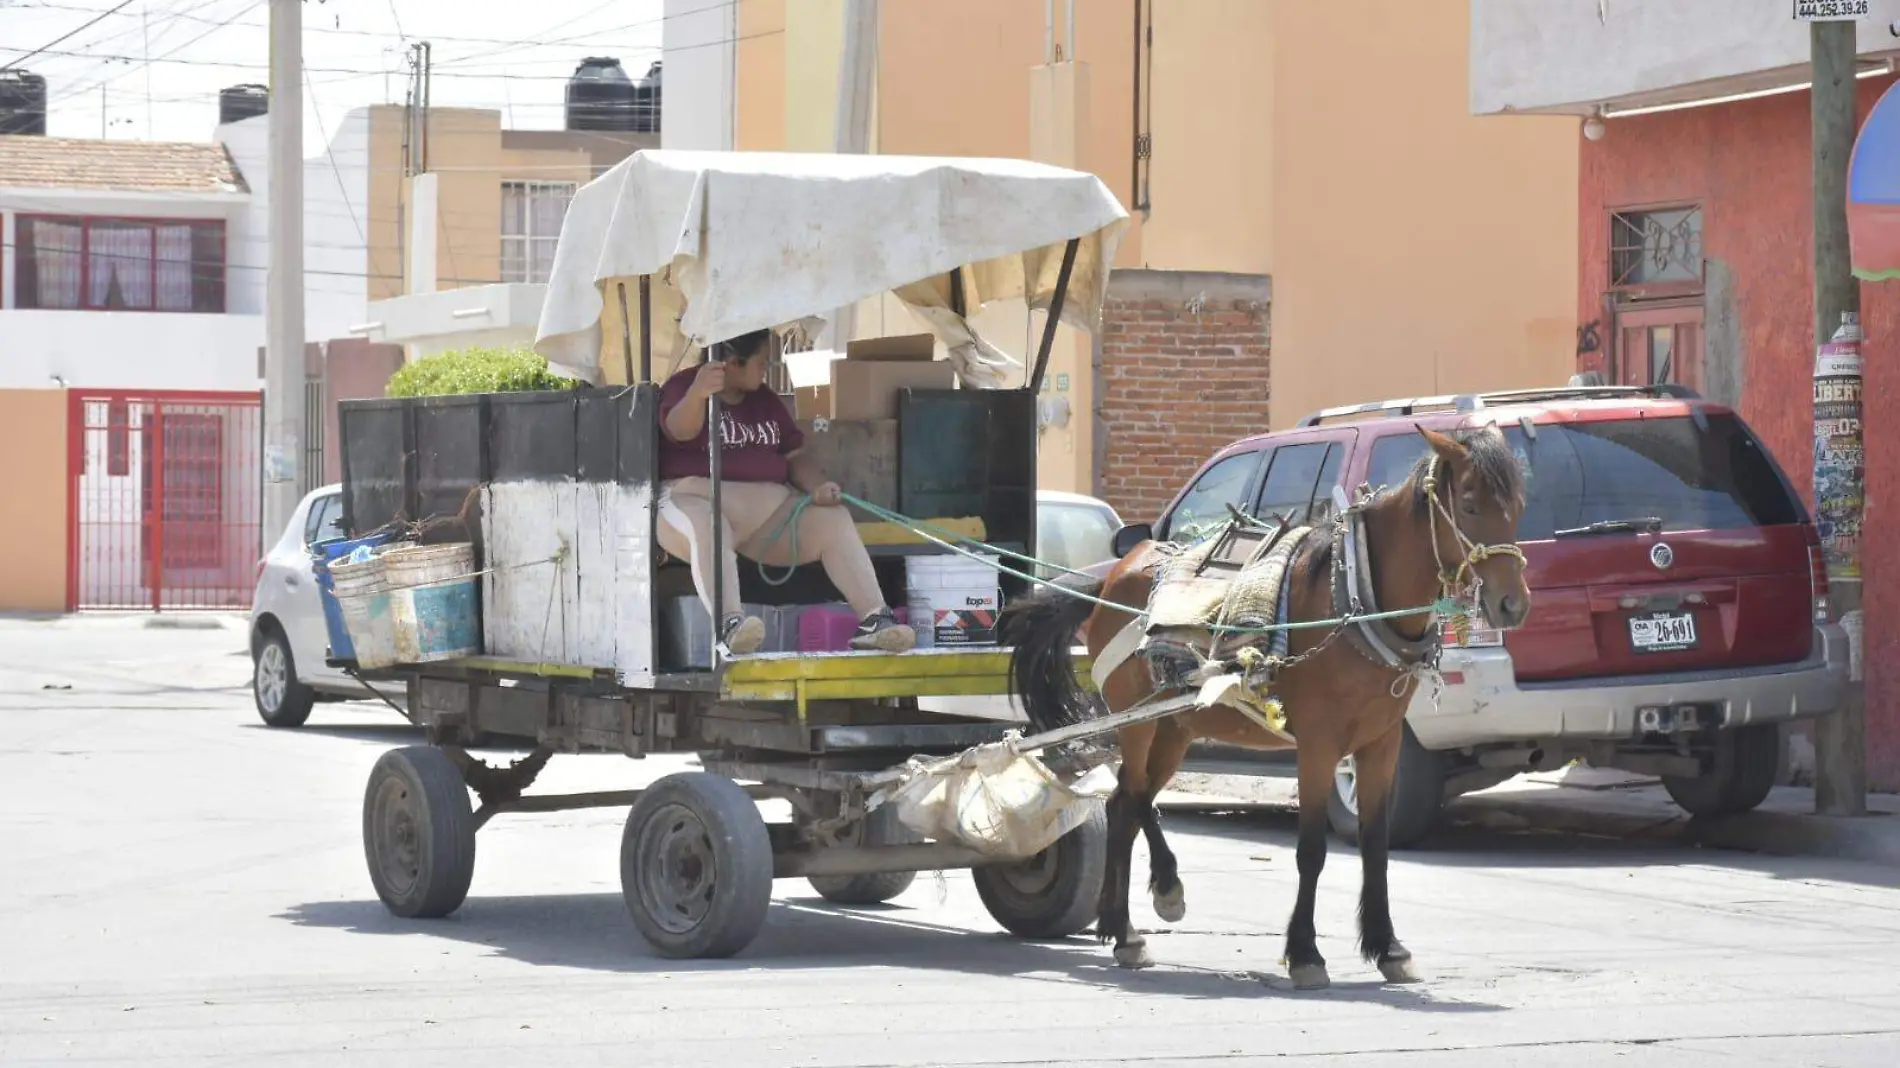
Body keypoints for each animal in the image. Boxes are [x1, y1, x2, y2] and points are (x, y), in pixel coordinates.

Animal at [1010, 421, 1527, 980]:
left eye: (1518, 505)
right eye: (1470, 504)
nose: (1513, 604)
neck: (1352, 599)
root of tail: (1111, 573)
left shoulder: (1383, 742)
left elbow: (1375, 844)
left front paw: (1388, 946)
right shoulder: (1319, 745)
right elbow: (1312, 850)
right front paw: (1305, 953)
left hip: (1176, 727)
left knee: (1132, 798)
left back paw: (1132, 913)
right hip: (1137, 719)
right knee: (1128, 801)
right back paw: (1131, 926)